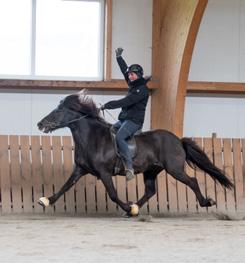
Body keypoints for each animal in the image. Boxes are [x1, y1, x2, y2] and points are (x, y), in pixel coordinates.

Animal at [37, 92, 233, 216]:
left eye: (58, 111)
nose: (40, 124)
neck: (92, 138)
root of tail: (178, 140)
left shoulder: (104, 173)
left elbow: (113, 194)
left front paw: (126, 207)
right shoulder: (80, 169)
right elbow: (65, 186)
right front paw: (45, 200)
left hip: (174, 169)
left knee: (192, 181)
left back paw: (206, 202)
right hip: (151, 171)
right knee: (150, 191)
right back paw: (135, 209)